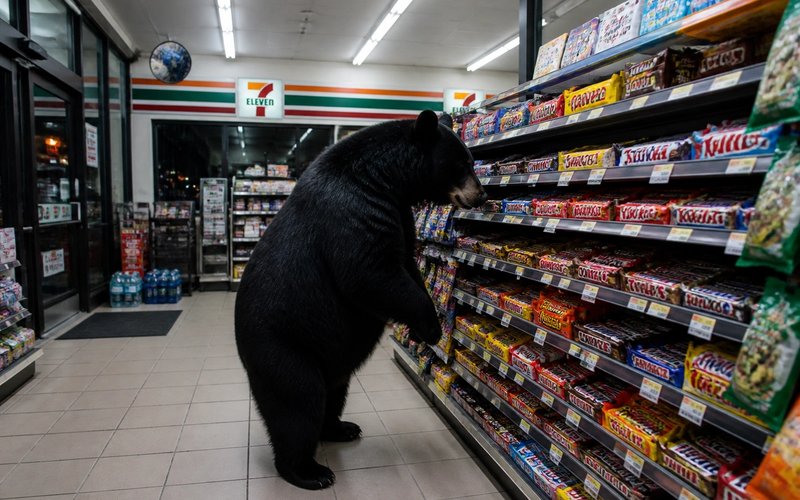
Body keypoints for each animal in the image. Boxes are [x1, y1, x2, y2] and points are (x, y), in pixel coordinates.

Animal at [235, 109, 487, 490]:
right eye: (461, 164)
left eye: (470, 160)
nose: (482, 195)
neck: (385, 178)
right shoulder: (351, 207)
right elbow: (369, 271)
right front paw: (429, 327)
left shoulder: (398, 211)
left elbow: (407, 264)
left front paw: (423, 326)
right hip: (281, 346)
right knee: (298, 404)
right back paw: (308, 470)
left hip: (328, 362)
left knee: (334, 394)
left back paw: (341, 427)